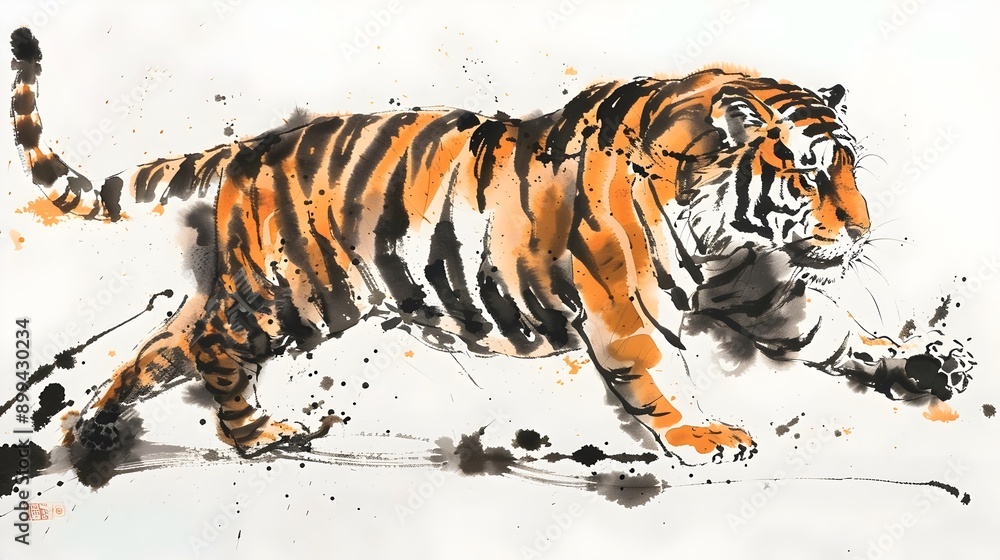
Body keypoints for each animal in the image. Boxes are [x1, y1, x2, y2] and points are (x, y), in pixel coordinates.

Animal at [9, 27, 973, 466]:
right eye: (809, 175)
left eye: (851, 170)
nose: (862, 230)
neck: (718, 221)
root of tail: (252, 146)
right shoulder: (625, 301)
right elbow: (656, 373)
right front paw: (701, 435)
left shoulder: (756, 283)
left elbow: (832, 331)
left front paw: (920, 362)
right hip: (290, 293)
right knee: (204, 343)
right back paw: (255, 434)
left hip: (288, 295)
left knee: (163, 342)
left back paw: (96, 427)